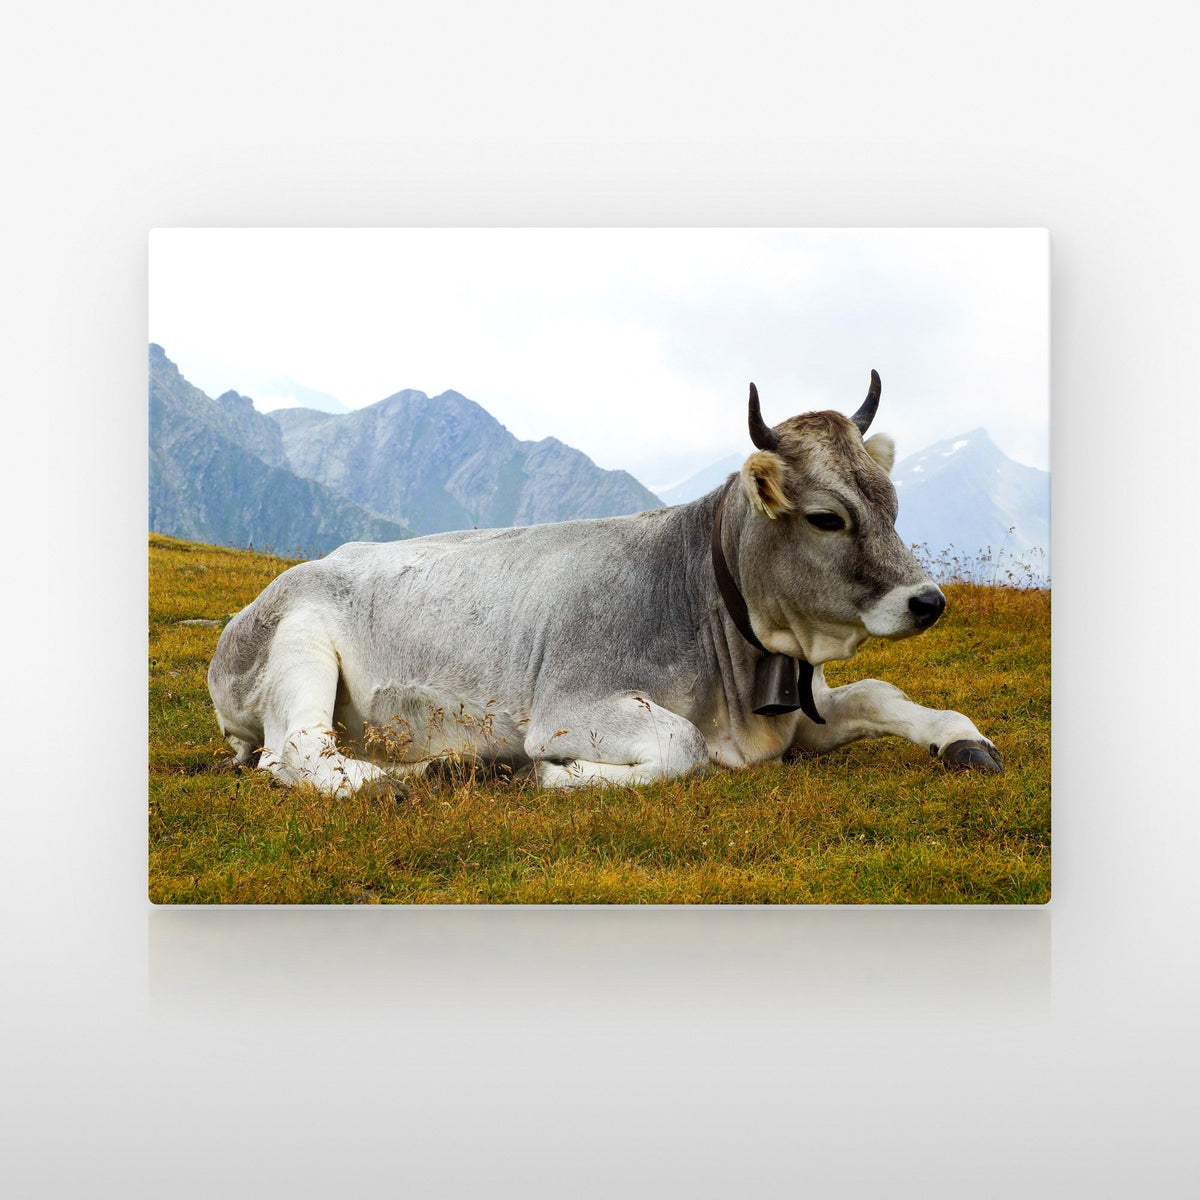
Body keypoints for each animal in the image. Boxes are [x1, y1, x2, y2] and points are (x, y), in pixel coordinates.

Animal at [208, 372, 1003, 797]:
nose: (929, 601)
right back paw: (427, 772)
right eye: (826, 518)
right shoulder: (571, 705)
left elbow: (879, 694)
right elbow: (682, 747)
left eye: (891, 504)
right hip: (299, 646)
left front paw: (962, 738)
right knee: (298, 753)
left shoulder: (796, 714)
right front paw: (556, 776)